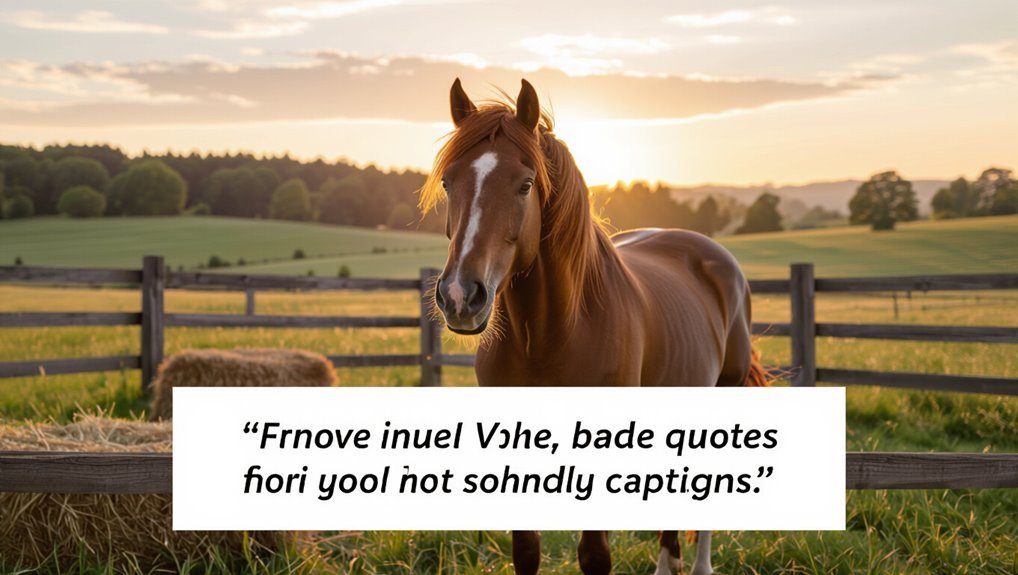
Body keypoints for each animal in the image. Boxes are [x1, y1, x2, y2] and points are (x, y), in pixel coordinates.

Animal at [420, 78, 768, 575]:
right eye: (449, 182)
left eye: (525, 184)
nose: (459, 296)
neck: (550, 336)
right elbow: (526, 552)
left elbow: (595, 555)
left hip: (725, 392)